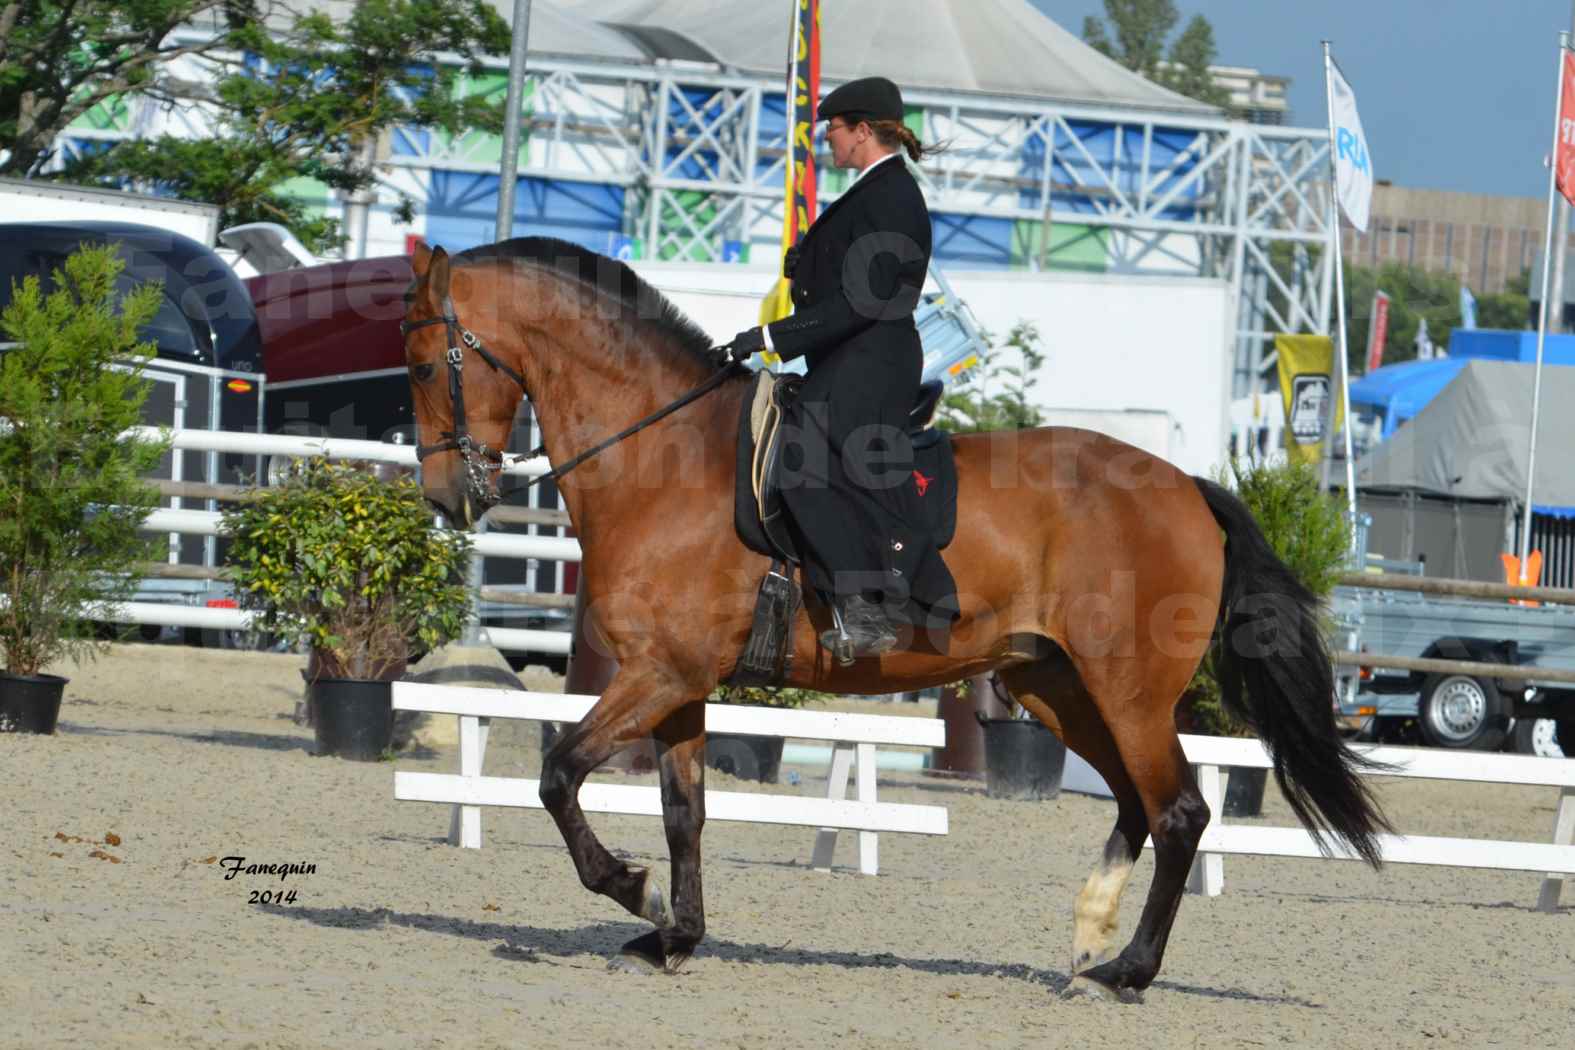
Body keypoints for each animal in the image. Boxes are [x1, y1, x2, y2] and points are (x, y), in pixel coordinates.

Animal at [400, 237, 1386, 1001]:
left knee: (1178, 809)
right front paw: (672, 936)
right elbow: (686, 813)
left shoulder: (659, 676)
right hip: (1055, 685)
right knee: (1136, 804)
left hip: (1129, 689)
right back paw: (1087, 939)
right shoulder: (676, 682)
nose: (447, 497)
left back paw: (1125, 973)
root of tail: (1184, 485)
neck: (661, 455)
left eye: (417, 365)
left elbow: (558, 775)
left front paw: (631, 893)